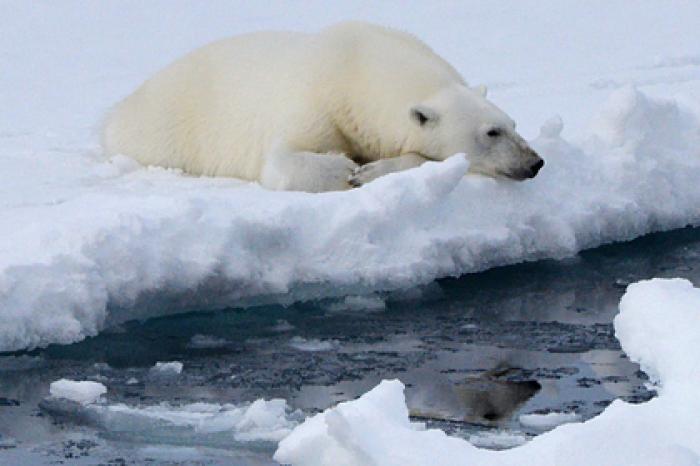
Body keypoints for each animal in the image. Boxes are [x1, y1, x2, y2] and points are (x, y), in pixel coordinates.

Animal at [102, 20, 540, 192]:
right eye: (492, 132)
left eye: (514, 123)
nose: (535, 162)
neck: (358, 66)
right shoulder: (315, 102)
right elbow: (282, 162)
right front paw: (347, 169)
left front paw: (373, 168)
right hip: (164, 130)